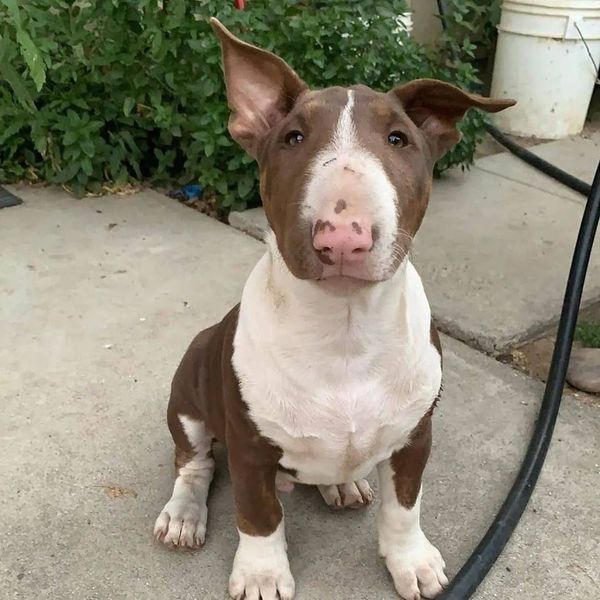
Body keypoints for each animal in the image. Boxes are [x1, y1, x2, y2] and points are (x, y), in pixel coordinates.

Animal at [152, 18, 512, 600]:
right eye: (293, 138)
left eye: (398, 139)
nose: (344, 235)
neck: (345, 330)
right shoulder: (249, 449)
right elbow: (258, 515)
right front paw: (262, 574)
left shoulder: (416, 437)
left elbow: (404, 507)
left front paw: (412, 562)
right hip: (188, 393)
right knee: (195, 462)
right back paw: (184, 515)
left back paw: (344, 485)